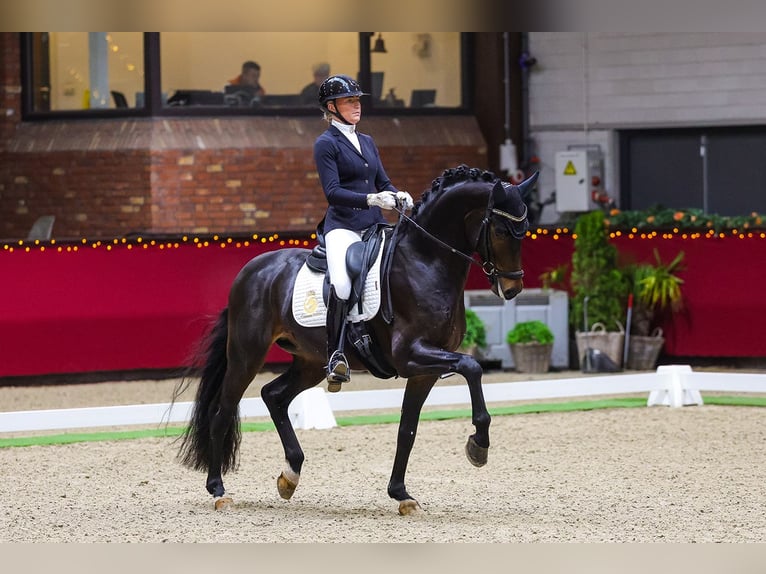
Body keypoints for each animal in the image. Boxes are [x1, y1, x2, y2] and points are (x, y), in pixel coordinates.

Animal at [175, 164, 537, 515]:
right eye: (501, 230)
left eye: (526, 230)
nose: (512, 289)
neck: (425, 261)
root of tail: (250, 271)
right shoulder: (411, 355)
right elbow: (472, 366)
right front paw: (478, 446)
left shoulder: (423, 371)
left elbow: (407, 429)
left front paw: (401, 494)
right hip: (247, 354)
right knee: (222, 413)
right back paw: (219, 491)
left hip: (310, 362)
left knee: (273, 395)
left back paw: (290, 475)